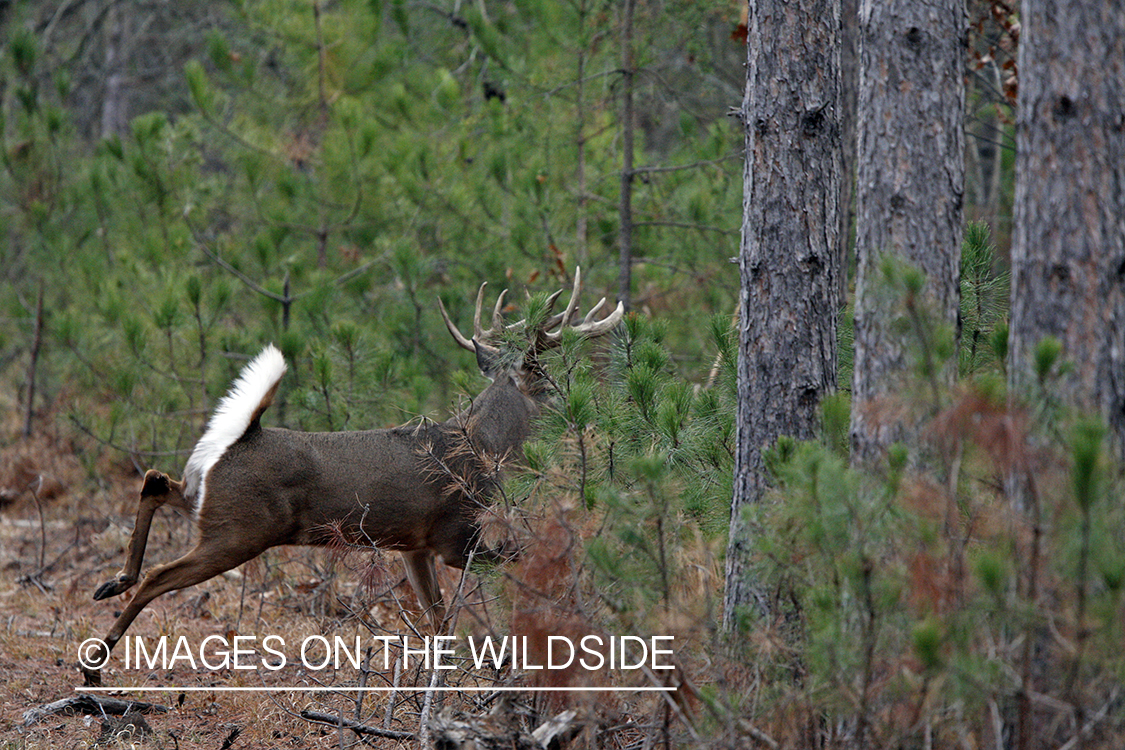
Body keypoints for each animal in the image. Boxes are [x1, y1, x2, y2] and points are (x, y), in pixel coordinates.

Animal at [79, 269, 625, 688]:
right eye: (548, 384)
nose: (585, 414)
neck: (481, 449)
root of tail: (241, 436)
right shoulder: (457, 535)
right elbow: (511, 565)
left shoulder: (415, 547)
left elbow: (439, 620)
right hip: (238, 529)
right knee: (159, 574)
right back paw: (95, 662)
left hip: (208, 505)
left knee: (155, 481)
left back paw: (112, 582)